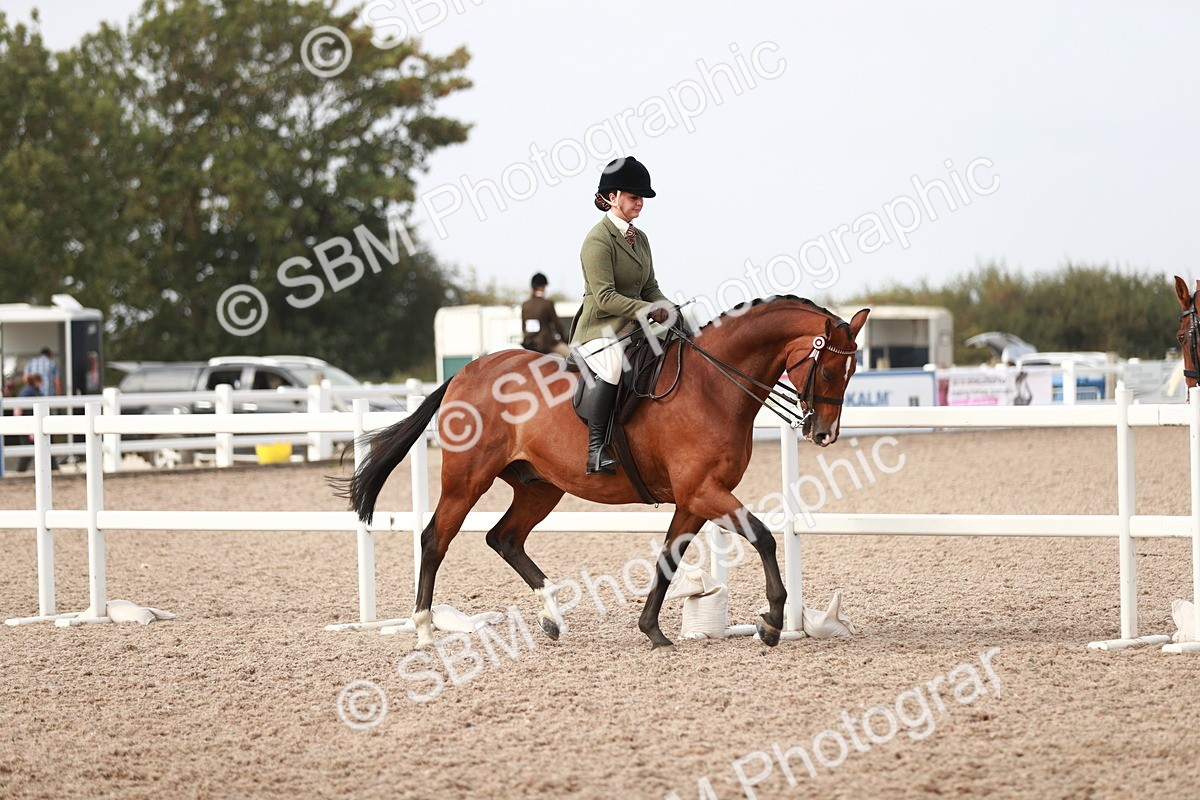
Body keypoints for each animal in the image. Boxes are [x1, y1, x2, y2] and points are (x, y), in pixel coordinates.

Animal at [337, 296, 870, 651]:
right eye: (828, 370)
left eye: (852, 371)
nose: (824, 434)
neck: (714, 386)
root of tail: (466, 373)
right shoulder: (704, 491)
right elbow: (763, 537)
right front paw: (772, 622)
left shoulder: (694, 498)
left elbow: (668, 558)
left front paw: (653, 630)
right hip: (467, 480)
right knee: (435, 540)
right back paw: (425, 630)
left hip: (539, 487)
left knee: (504, 538)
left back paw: (552, 619)